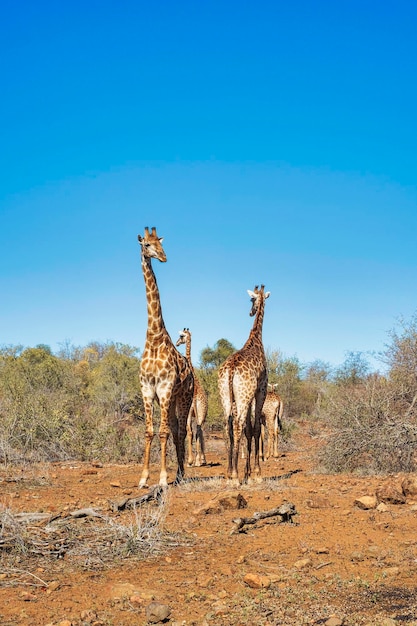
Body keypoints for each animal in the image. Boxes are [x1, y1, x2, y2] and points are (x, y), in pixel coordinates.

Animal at [218, 282, 270, 482]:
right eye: (251, 299)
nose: (250, 311)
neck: (255, 339)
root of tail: (231, 369)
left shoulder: (248, 397)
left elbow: (249, 430)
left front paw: (248, 472)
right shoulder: (260, 390)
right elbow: (255, 429)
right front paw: (256, 473)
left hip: (226, 395)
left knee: (228, 425)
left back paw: (229, 472)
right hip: (244, 395)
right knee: (238, 424)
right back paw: (235, 475)